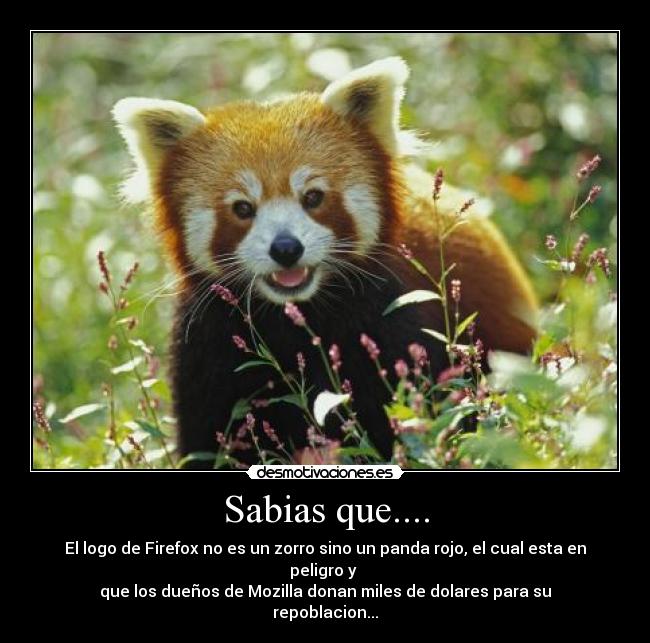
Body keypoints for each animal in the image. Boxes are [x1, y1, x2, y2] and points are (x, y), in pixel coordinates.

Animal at [113, 57, 538, 468]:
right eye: (242, 208)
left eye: (313, 197)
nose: (286, 248)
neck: (295, 319)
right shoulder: (210, 349)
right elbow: (213, 439)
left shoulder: (387, 324)